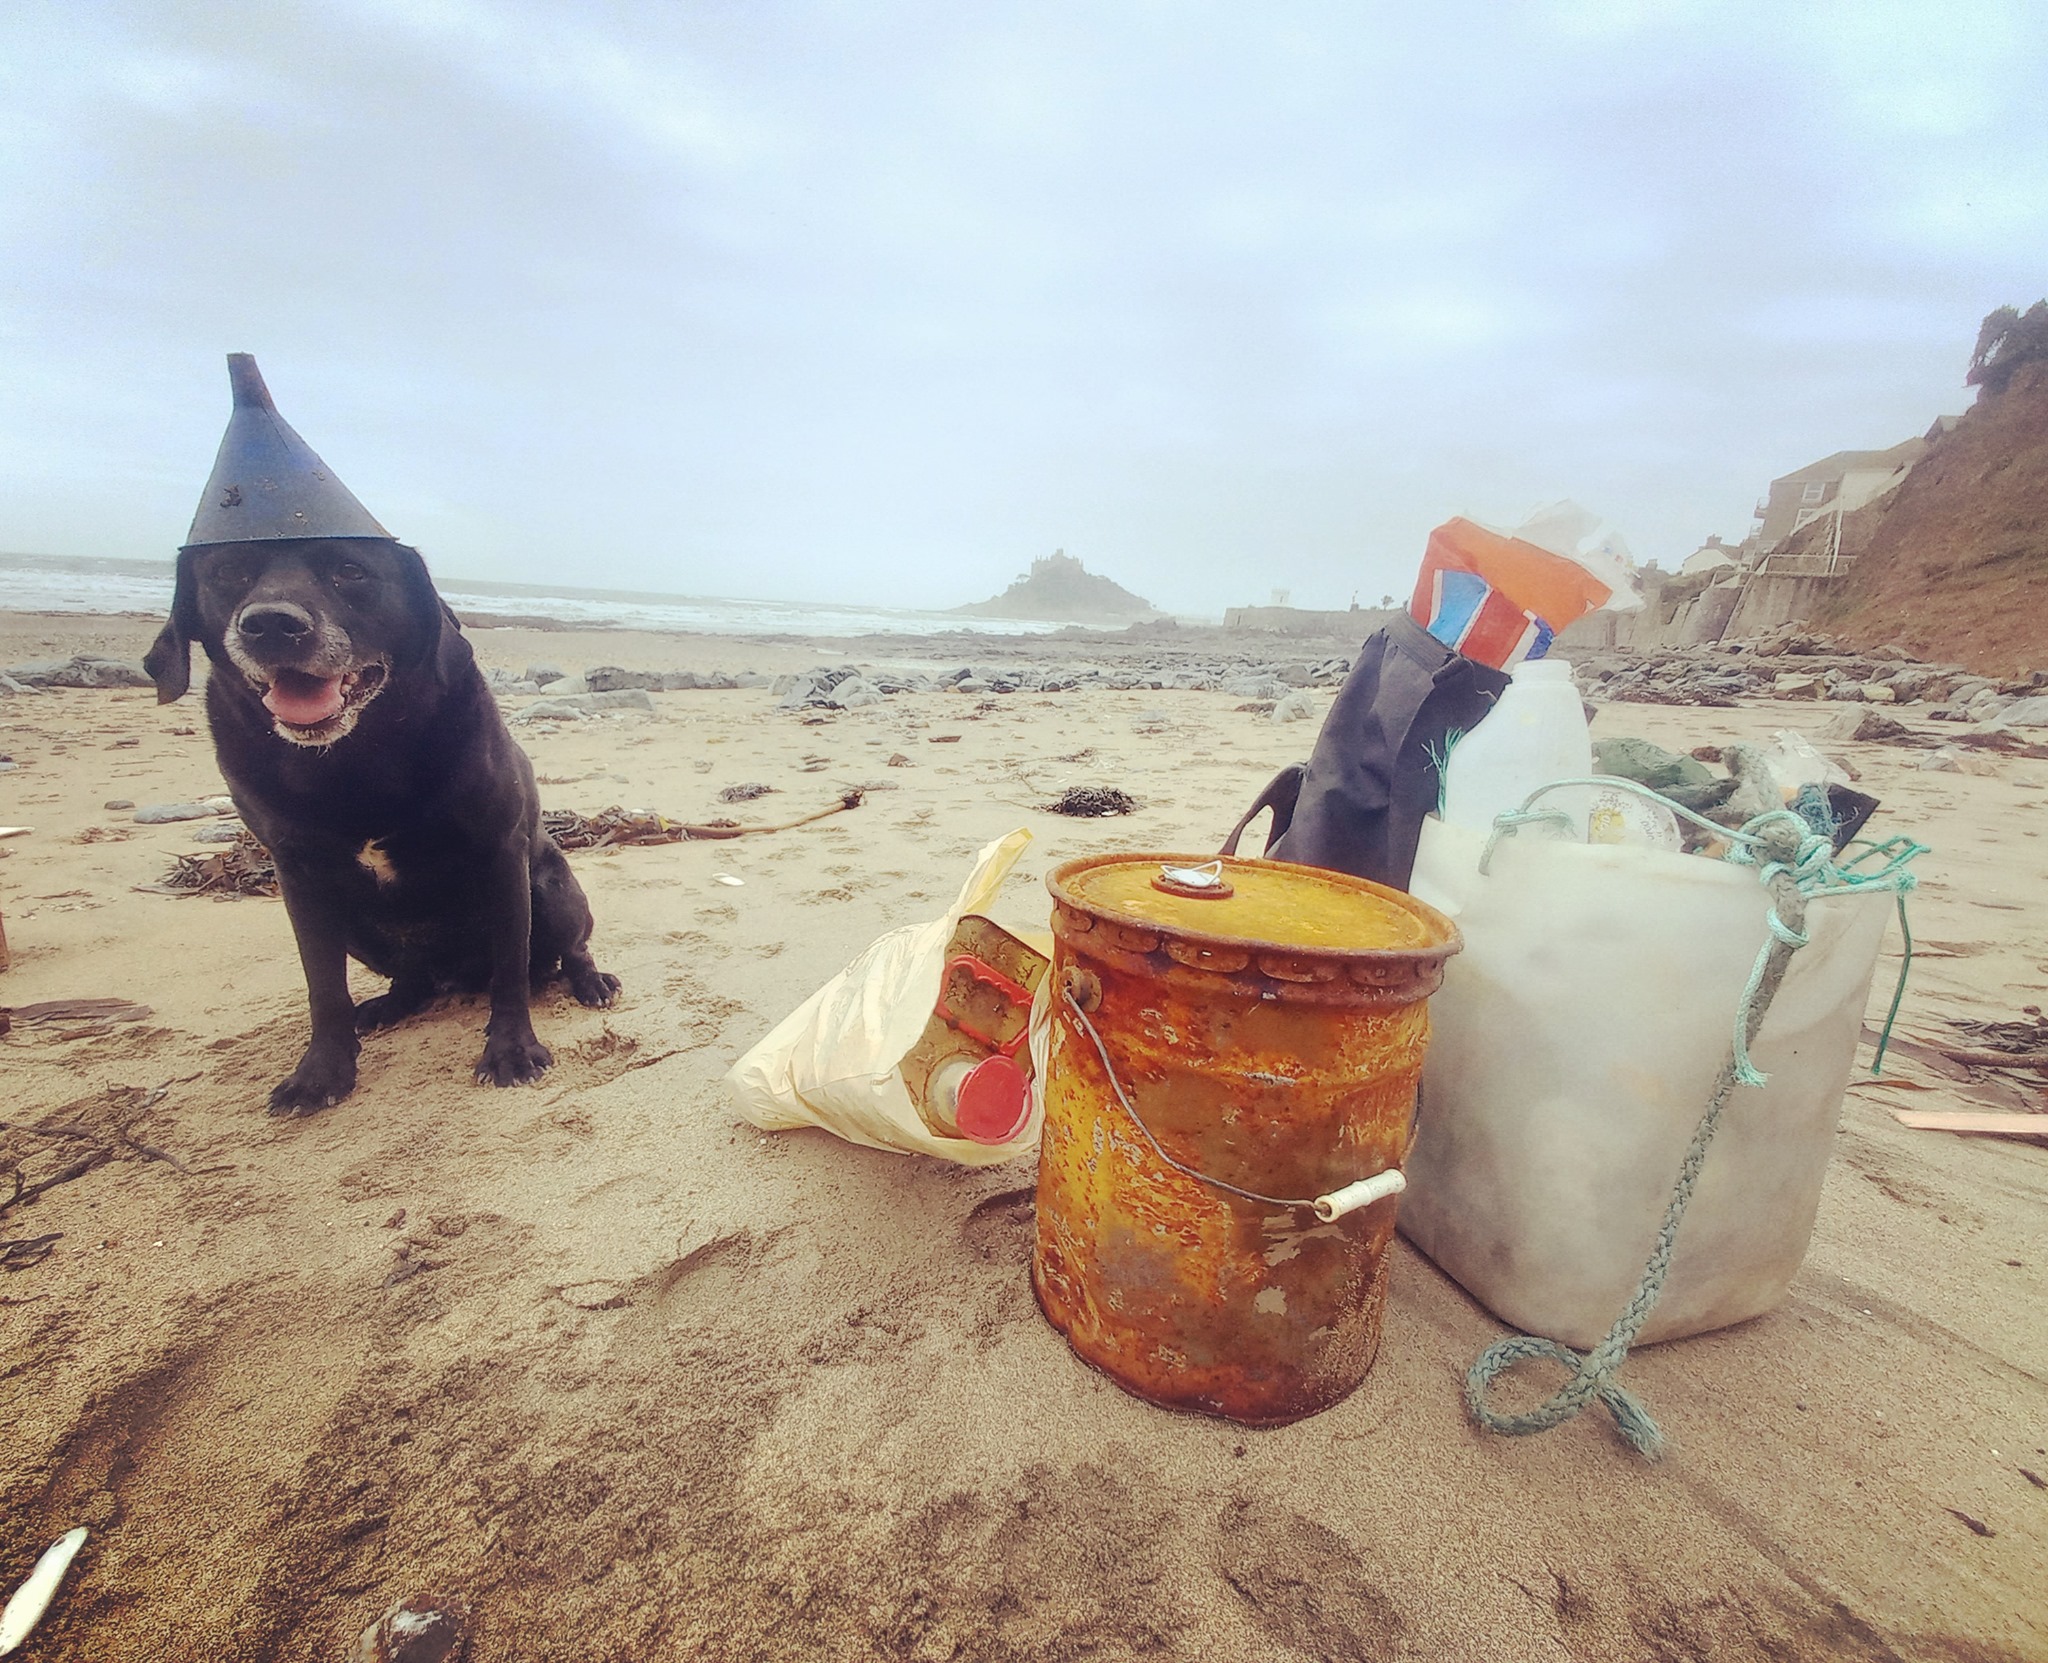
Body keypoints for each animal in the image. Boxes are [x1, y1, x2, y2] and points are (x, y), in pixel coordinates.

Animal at [149, 360, 618, 1114]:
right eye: (227, 571)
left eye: (349, 569)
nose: (271, 624)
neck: (357, 759)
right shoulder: (297, 875)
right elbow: (322, 988)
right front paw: (321, 1072)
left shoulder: (500, 854)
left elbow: (512, 969)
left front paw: (512, 1049)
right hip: (360, 925)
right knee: (409, 980)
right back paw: (388, 1007)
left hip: (551, 886)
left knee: (557, 952)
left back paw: (588, 982)